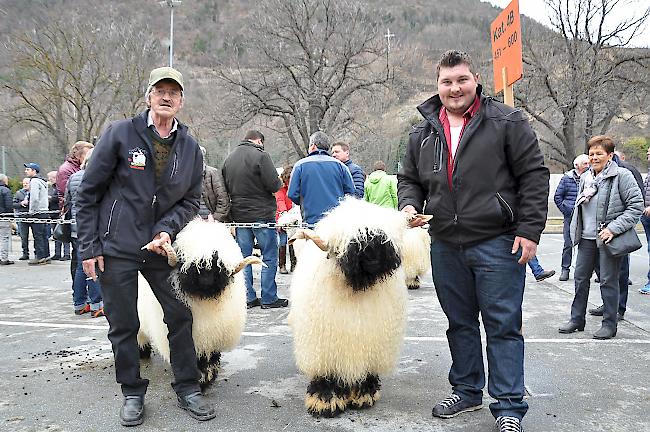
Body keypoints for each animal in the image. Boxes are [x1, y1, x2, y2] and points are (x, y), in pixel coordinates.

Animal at [137, 218, 260, 390]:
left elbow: (211, 357)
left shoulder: (213, 334)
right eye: (187, 262)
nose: (206, 281)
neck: (204, 300)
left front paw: (209, 376)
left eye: (217, 262)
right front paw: (200, 380)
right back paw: (142, 352)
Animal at [288, 197, 408, 416]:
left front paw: (365, 393)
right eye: (354, 242)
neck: (357, 285)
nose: (373, 257)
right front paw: (325, 400)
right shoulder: (326, 343)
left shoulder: (371, 340)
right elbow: (327, 375)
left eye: (382, 240)